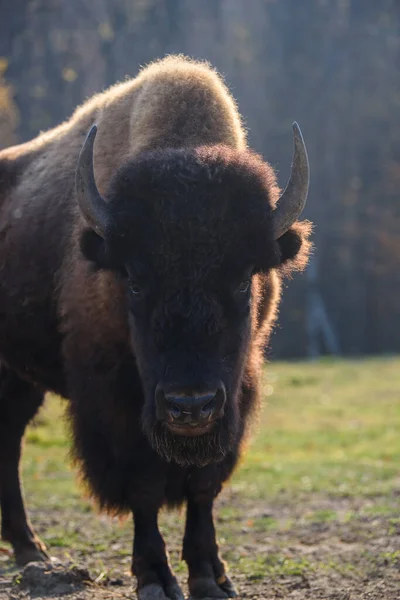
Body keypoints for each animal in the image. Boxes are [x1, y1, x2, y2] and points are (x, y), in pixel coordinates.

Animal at [0, 55, 312, 596]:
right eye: (134, 279)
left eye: (243, 280)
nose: (190, 405)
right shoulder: (117, 403)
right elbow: (142, 486)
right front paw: (154, 577)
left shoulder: (235, 394)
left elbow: (204, 486)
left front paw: (210, 576)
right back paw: (32, 551)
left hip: (20, 378)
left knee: (8, 440)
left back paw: (29, 550)